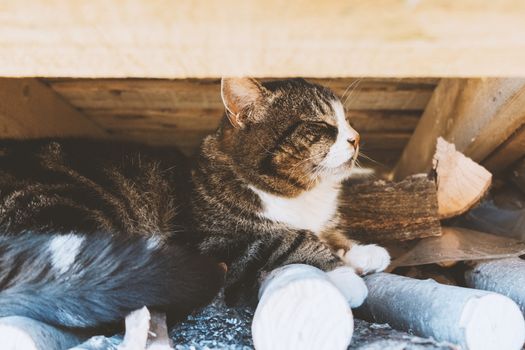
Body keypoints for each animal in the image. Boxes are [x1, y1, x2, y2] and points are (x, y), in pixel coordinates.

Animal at [0, 77, 388, 330]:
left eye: (347, 121)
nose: (356, 137)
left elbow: (328, 235)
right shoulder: (213, 240)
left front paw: (364, 252)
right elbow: (288, 238)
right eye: (322, 125)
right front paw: (344, 276)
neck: (301, 196)